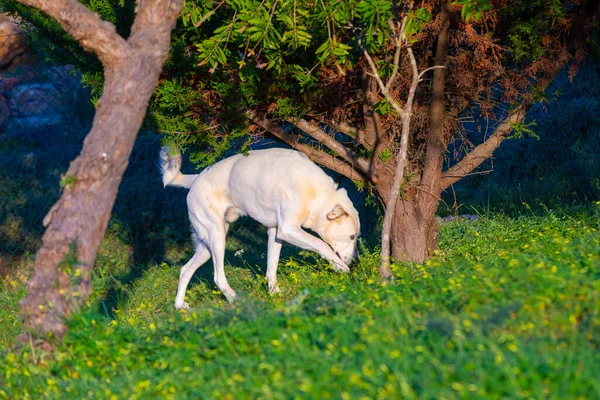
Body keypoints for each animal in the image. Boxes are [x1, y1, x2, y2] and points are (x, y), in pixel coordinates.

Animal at [159, 147, 360, 310]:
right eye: (351, 237)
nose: (357, 262)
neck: (315, 193)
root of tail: (196, 179)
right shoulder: (288, 229)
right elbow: (321, 245)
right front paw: (340, 267)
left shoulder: (275, 232)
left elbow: (271, 267)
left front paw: (275, 293)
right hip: (217, 238)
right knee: (217, 276)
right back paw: (234, 299)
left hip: (207, 247)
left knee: (185, 270)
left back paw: (180, 306)